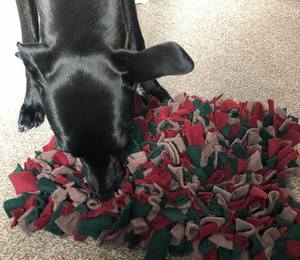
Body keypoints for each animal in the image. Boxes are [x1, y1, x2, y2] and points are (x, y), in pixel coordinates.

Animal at [15, 0, 195, 200]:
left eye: (123, 144)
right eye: (68, 152)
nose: (104, 195)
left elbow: (136, 39)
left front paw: (151, 87)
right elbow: (28, 36)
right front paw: (32, 104)